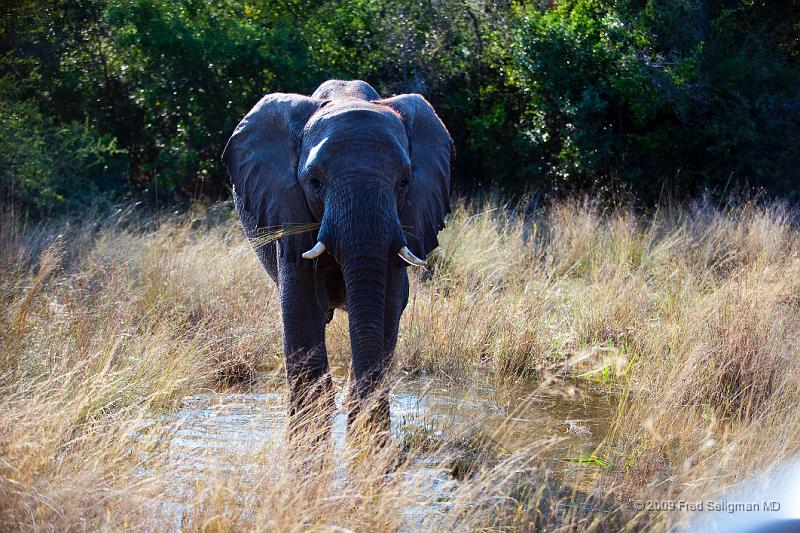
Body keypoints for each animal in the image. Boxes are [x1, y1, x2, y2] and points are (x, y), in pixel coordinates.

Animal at [222, 79, 454, 434]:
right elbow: (301, 308)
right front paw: (313, 424)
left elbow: (387, 307)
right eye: (315, 183)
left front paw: (366, 425)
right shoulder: (286, 208)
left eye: (404, 182)